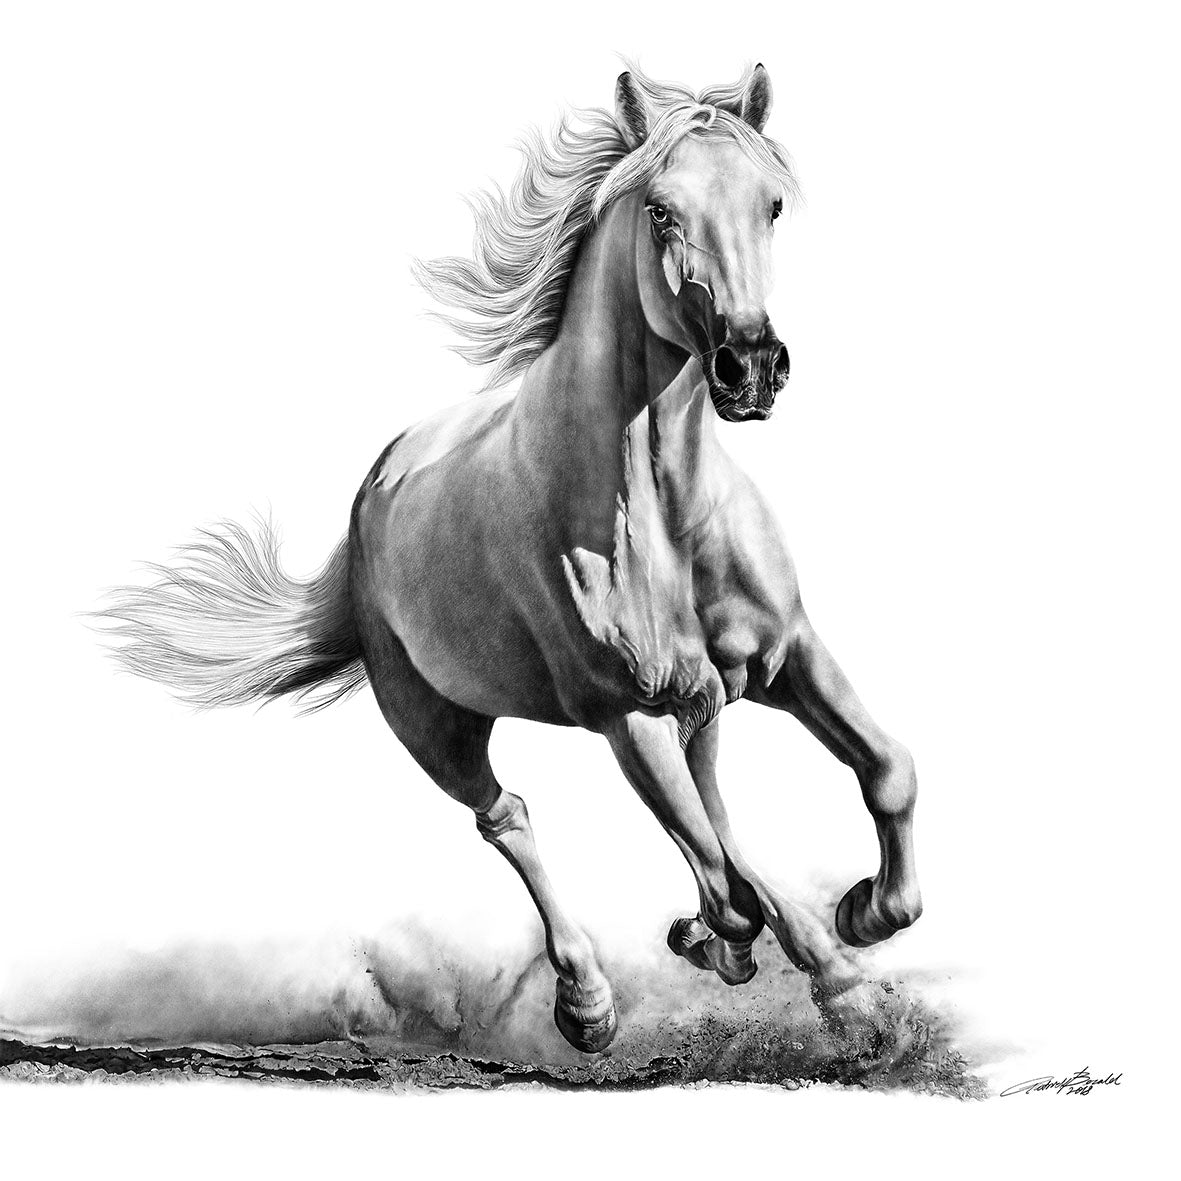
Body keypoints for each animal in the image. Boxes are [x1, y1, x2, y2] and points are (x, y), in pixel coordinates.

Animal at [100, 64, 921, 1054]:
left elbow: (882, 772)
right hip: (436, 725)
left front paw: (862, 925)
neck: (660, 512)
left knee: (712, 811)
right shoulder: (626, 715)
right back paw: (589, 1002)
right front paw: (804, 961)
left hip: (698, 704)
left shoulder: (784, 652)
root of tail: (374, 489)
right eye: (660, 210)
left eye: (770, 204)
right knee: (514, 818)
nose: (750, 366)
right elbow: (727, 876)